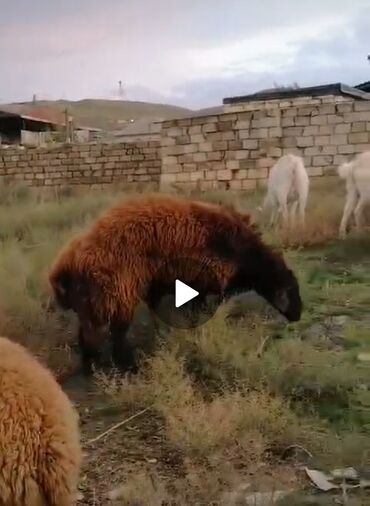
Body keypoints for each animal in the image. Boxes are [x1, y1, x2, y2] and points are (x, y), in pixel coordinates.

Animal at [48, 196, 304, 374]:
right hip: (115, 295)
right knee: (110, 333)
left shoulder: (167, 287)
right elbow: (196, 314)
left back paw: (92, 366)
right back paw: (122, 366)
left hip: (92, 302)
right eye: (289, 291)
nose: (298, 316)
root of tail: (65, 265)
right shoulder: (205, 287)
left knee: (87, 334)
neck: (243, 252)